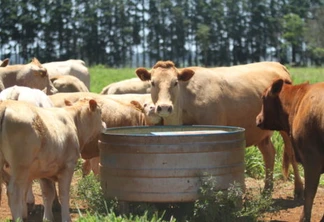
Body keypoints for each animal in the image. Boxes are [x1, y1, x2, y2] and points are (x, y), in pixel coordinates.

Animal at [135, 60, 304, 196]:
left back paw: (299, 189)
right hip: (260, 131)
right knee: (269, 153)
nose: (164, 107)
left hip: (286, 129)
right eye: (152, 83)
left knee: (291, 153)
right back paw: (267, 189)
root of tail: (277, 65)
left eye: (175, 82)